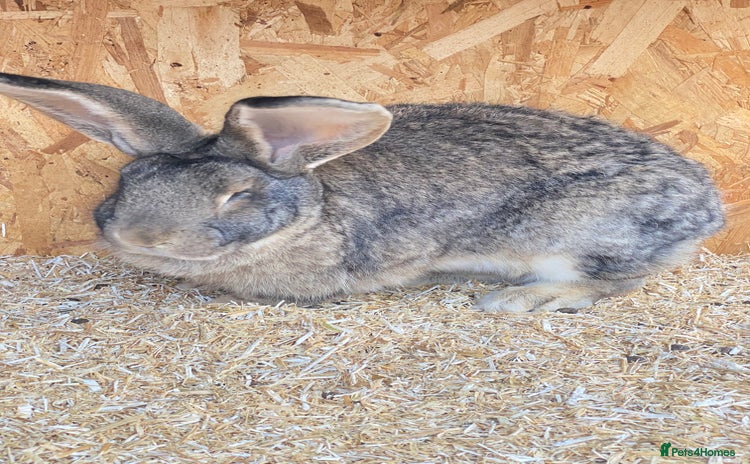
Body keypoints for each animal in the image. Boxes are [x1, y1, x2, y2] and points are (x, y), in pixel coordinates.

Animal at [0, 72, 725, 312]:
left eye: (236, 196)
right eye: (126, 181)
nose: (140, 235)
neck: (312, 212)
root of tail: (707, 208)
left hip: (568, 236)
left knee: (615, 280)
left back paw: (516, 300)